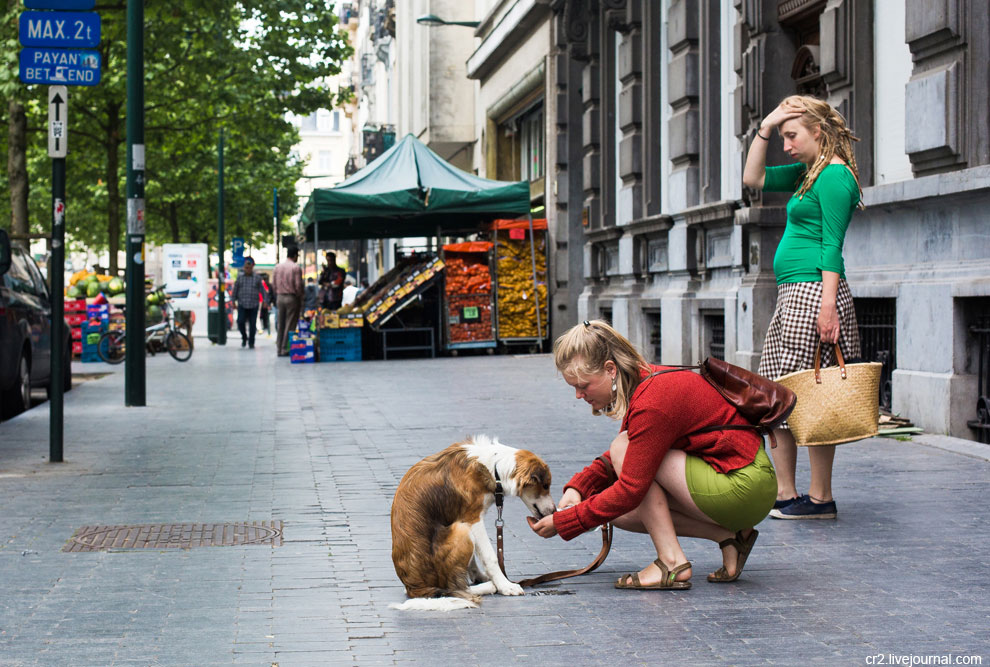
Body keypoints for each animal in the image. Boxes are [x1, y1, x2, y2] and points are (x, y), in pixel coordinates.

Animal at [390, 436, 560, 612]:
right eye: (545, 486)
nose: (554, 511)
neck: (494, 468)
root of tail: (415, 589)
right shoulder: (473, 519)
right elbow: (490, 557)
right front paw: (504, 585)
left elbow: (474, 560)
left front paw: (482, 576)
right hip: (461, 529)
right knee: (454, 587)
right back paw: (489, 586)